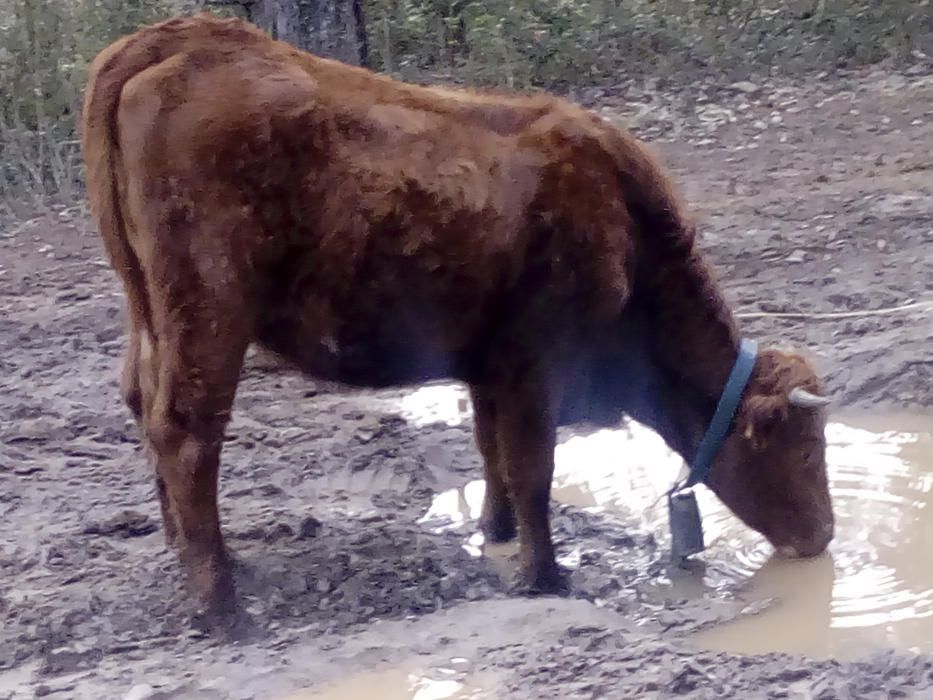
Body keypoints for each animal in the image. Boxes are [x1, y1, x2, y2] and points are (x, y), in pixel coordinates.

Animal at [82, 12, 832, 624]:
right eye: (801, 446)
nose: (823, 535)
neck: (621, 221)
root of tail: (186, 38)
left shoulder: (489, 363)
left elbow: (491, 451)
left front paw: (495, 535)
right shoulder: (536, 364)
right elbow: (532, 468)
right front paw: (545, 576)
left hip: (149, 317)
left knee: (141, 403)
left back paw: (186, 552)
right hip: (208, 317)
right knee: (186, 433)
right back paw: (221, 604)